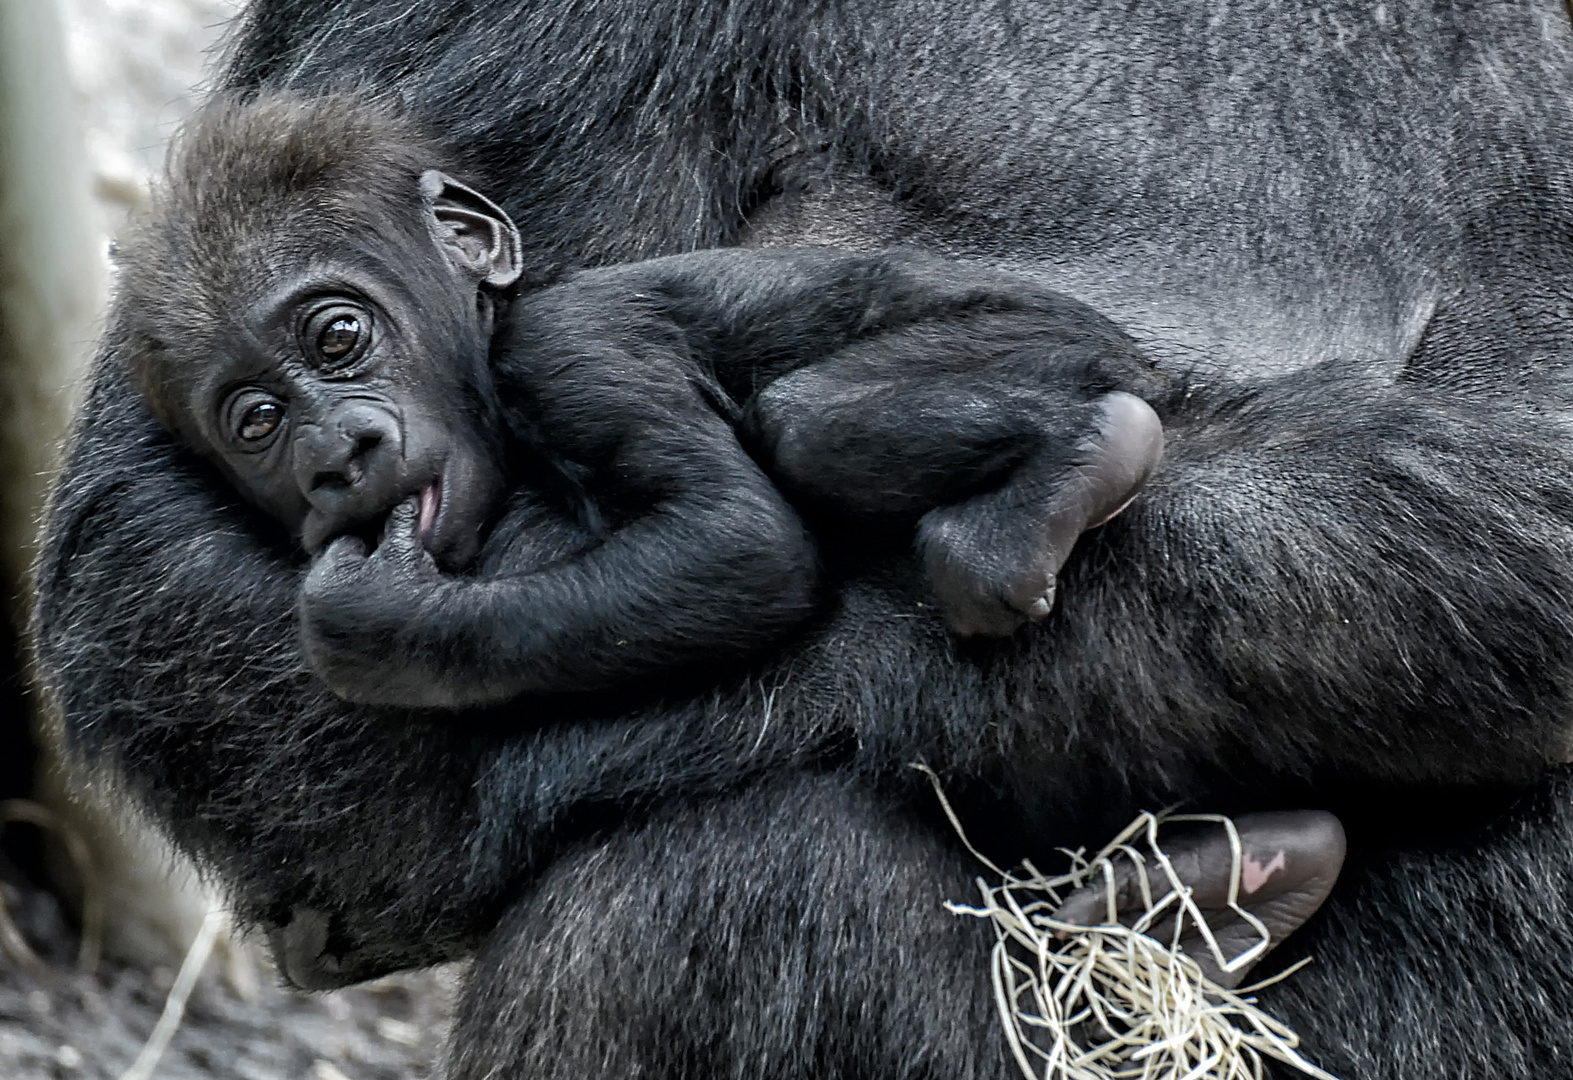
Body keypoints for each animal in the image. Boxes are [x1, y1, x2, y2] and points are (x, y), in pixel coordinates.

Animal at [122, 92, 1170, 710]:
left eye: (337, 337)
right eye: (259, 422)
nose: (336, 452)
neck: (489, 343)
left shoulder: (567, 351)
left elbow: (734, 538)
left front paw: (377, 622)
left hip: (1047, 338)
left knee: (808, 421)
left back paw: (1080, 458)